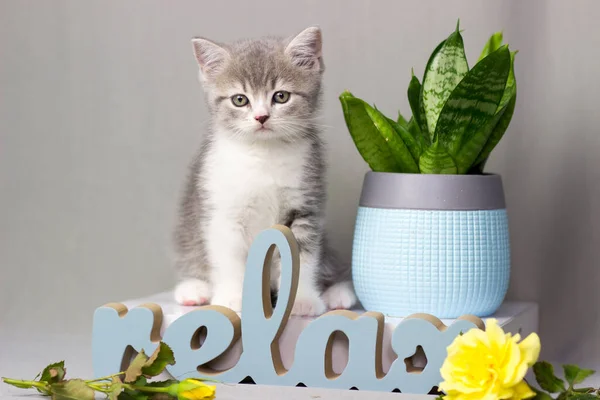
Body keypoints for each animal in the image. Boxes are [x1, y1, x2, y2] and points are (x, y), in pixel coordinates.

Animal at [172, 26, 356, 318]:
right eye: (239, 100)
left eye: (281, 96)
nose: (261, 117)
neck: (263, 154)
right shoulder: (223, 209)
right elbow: (229, 256)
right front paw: (234, 298)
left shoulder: (305, 203)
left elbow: (303, 255)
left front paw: (302, 300)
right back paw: (194, 289)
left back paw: (338, 293)